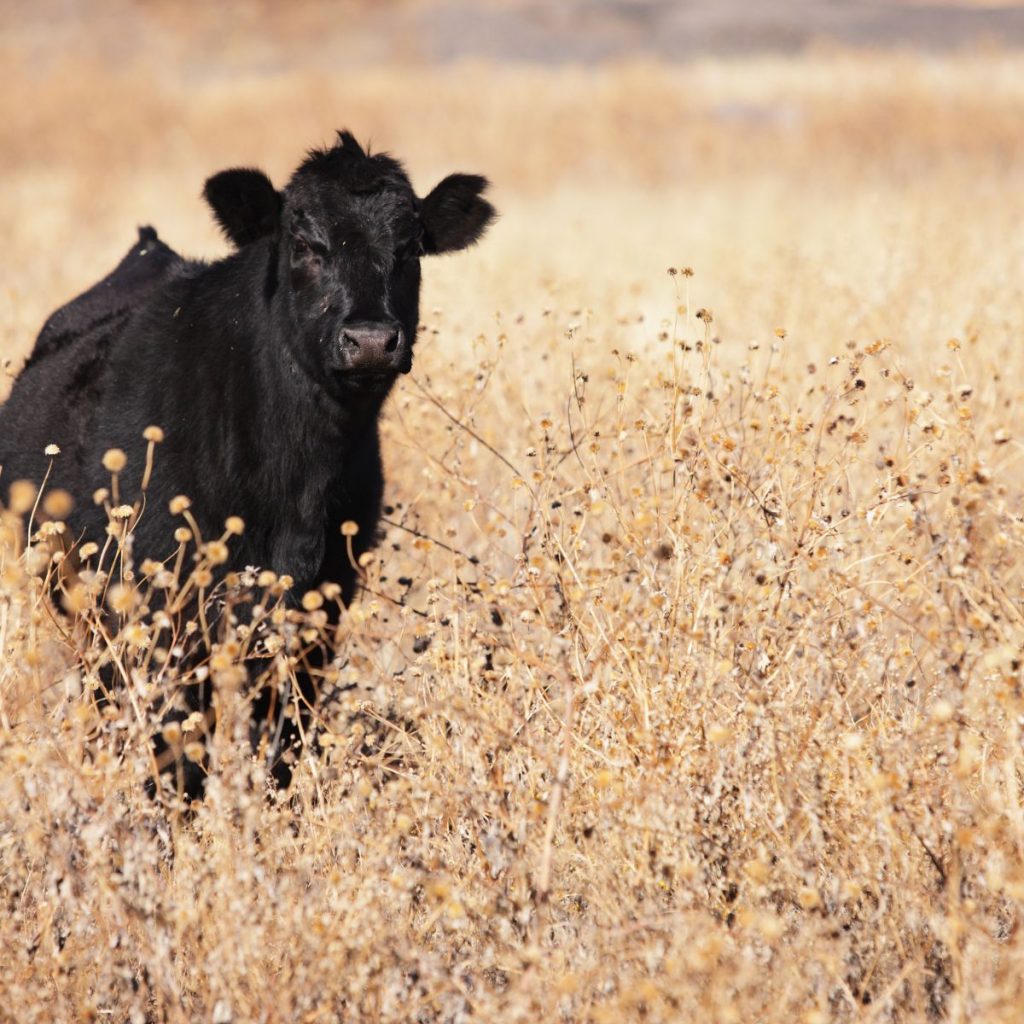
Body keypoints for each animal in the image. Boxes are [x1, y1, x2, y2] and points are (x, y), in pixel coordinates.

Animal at [0, 128, 495, 794]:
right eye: (304, 245)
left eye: (411, 248)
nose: (370, 340)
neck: (294, 478)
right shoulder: (161, 614)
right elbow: (176, 752)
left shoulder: (318, 608)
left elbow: (283, 737)